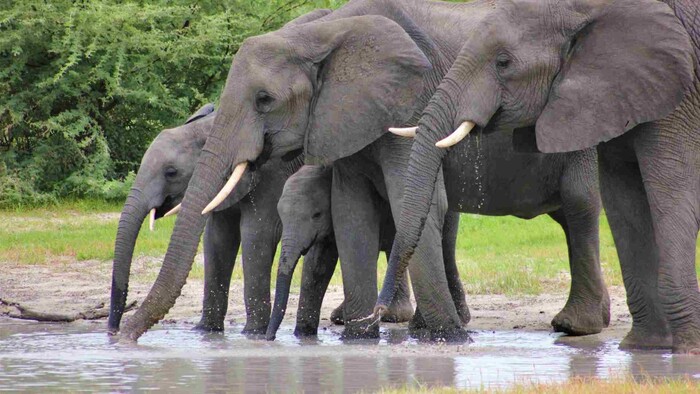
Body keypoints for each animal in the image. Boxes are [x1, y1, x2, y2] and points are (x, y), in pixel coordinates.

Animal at [108, 103, 306, 334]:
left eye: (171, 172)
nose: (114, 331)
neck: (207, 127)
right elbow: (217, 238)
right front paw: (205, 331)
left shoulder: (272, 173)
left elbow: (257, 233)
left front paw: (252, 333)